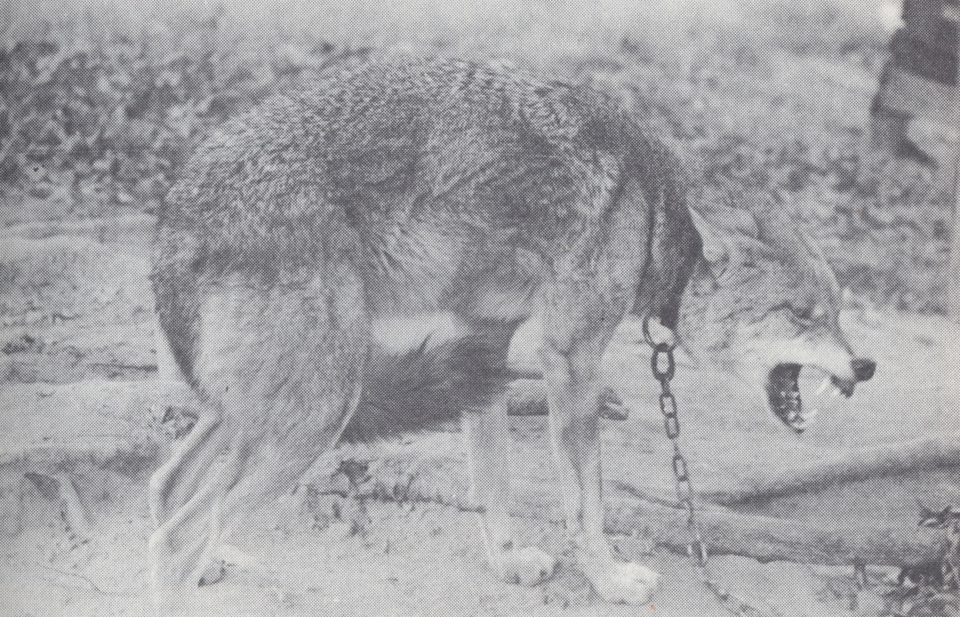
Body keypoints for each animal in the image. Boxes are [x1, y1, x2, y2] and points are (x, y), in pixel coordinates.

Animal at [148, 58, 875, 613]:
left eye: (838, 311)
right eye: (802, 314)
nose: (865, 367)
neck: (649, 210)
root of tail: (176, 211)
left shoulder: (482, 345)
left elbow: (494, 481)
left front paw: (507, 564)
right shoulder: (572, 362)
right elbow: (587, 503)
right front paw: (610, 580)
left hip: (263, 411)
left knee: (167, 486)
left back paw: (208, 560)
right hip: (316, 413)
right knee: (178, 533)